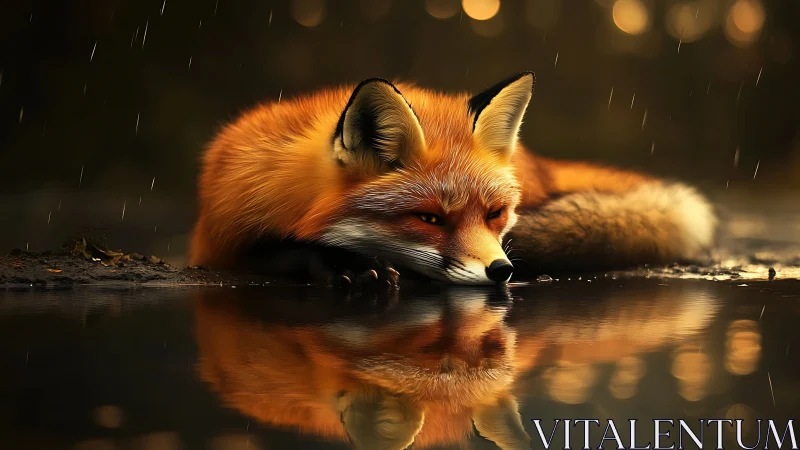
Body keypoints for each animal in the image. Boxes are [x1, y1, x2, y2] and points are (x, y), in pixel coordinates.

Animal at [189, 72, 717, 285]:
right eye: (428, 219)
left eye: (495, 214)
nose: (502, 271)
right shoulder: (219, 237)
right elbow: (278, 249)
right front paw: (346, 265)